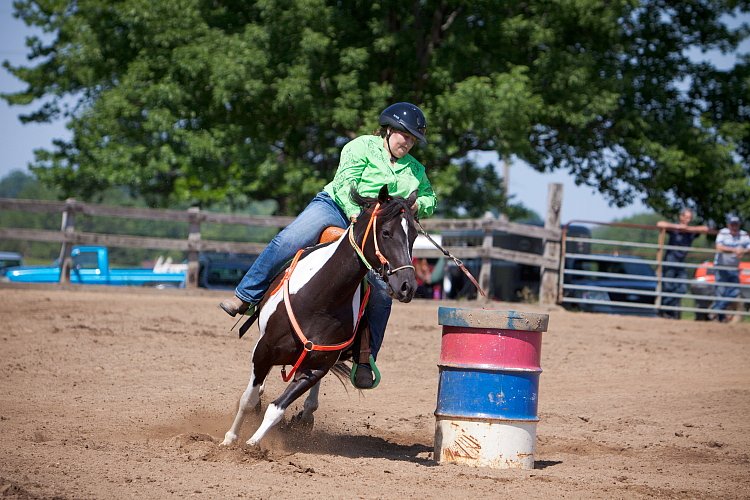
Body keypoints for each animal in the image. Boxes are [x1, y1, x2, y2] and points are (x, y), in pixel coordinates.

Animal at [220, 186, 420, 448]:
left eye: (414, 236)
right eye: (386, 232)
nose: (407, 286)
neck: (321, 299)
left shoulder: (317, 366)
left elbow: (276, 409)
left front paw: (252, 445)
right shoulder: (264, 350)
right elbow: (248, 400)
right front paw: (230, 440)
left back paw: (305, 416)